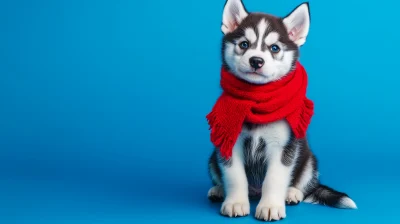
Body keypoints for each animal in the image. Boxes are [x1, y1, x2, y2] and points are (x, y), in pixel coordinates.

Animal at [208, 0, 358, 220]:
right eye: (244, 44)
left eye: (274, 48)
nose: (256, 61)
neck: (258, 99)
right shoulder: (229, 143)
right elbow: (234, 176)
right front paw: (235, 202)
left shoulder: (283, 146)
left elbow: (275, 178)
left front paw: (270, 205)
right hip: (211, 158)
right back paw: (219, 190)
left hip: (308, 159)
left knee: (304, 184)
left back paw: (292, 193)